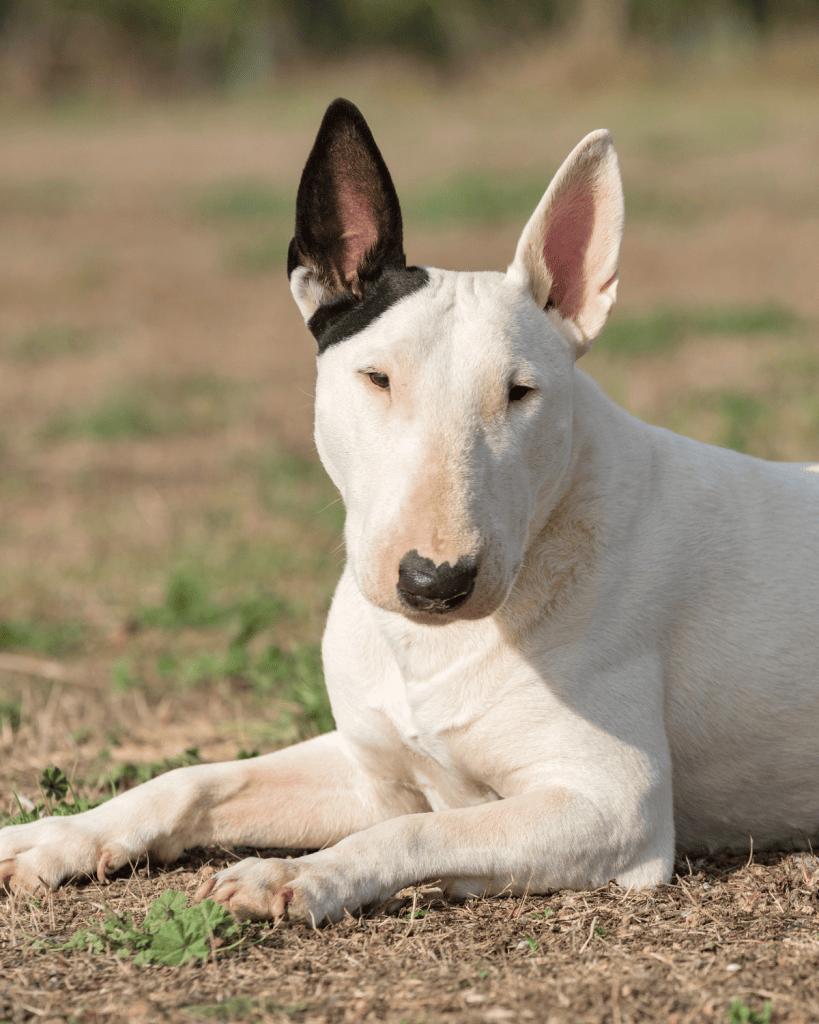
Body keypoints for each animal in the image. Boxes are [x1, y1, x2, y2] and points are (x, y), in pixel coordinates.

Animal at [1, 99, 818, 925]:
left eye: (520, 393)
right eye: (376, 377)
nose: (435, 582)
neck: (427, 647)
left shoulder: (615, 805)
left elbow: (418, 832)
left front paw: (291, 875)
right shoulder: (369, 770)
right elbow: (196, 779)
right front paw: (56, 837)